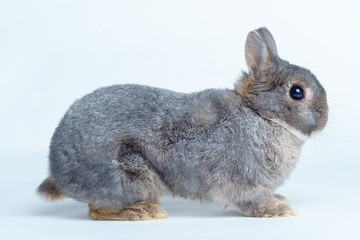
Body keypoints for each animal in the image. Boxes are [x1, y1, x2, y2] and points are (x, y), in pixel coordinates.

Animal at [38, 27, 328, 220]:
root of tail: (57, 172)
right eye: (297, 92)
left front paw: (280, 200)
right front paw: (280, 208)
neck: (259, 115)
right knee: (97, 209)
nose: (324, 118)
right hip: (130, 175)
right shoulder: (240, 181)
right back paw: (144, 210)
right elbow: (249, 200)